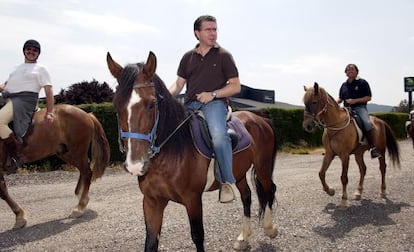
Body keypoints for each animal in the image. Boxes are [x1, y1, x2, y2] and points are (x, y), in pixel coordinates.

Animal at [106, 51, 278, 252]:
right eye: (116, 106)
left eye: (151, 104)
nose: (135, 164)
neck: (171, 154)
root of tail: (260, 118)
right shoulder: (151, 201)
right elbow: (150, 242)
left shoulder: (193, 200)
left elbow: (197, 236)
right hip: (240, 172)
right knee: (247, 197)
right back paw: (243, 238)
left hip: (263, 167)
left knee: (268, 189)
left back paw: (270, 228)